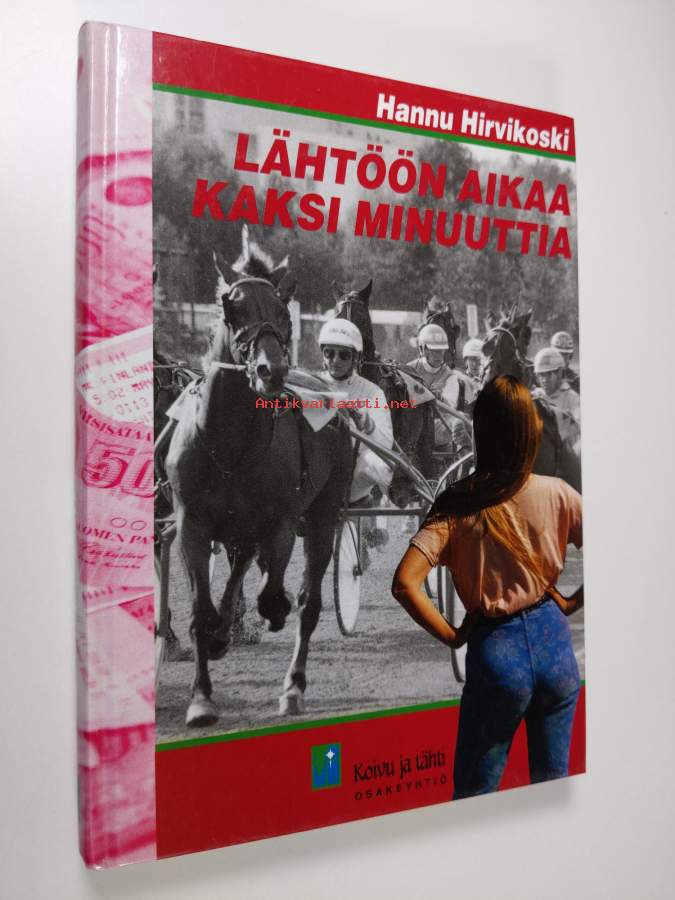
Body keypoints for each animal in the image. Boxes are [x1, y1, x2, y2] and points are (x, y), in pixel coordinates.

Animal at [165, 226, 353, 726]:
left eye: (283, 311)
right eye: (233, 308)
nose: (271, 370)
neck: (229, 440)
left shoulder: (282, 521)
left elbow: (276, 595)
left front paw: (274, 611)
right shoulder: (192, 523)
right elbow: (200, 609)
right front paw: (201, 697)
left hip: (324, 512)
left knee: (308, 601)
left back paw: (293, 685)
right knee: (239, 569)